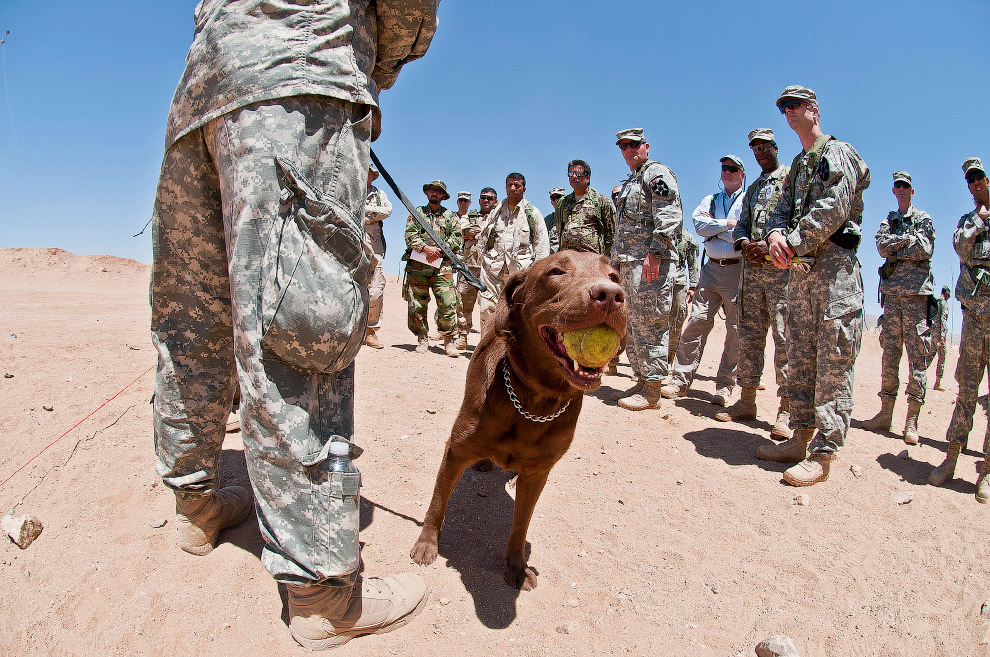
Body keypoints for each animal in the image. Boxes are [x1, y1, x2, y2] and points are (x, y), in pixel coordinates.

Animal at [408, 250, 628, 588]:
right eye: (556, 272)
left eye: (614, 276)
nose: (611, 295)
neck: (533, 401)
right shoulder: (455, 451)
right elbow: (437, 503)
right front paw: (426, 544)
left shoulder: (537, 474)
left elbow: (521, 525)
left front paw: (516, 566)